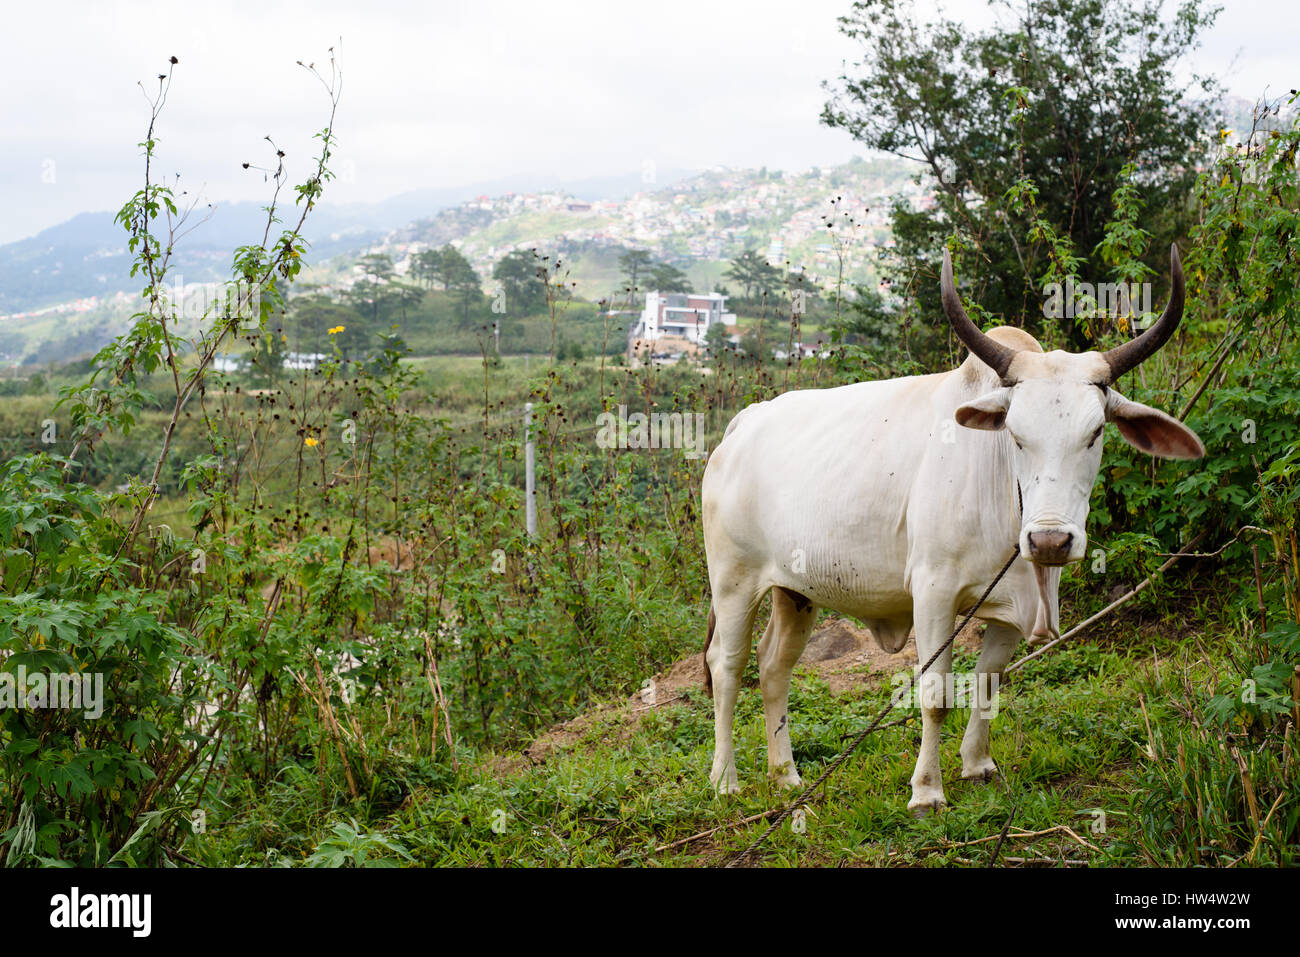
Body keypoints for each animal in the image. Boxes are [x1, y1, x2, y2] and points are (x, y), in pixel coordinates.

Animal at [700, 245, 1204, 814]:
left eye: (1096, 432)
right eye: (1015, 435)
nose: (1050, 541)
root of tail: (742, 425)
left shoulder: (1012, 609)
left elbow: (987, 684)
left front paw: (978, 765)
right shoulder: (933, 594)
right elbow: (936, 694)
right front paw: (926, 790)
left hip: (795, 591)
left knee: (773, 667)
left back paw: (785, 775)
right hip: (734, 582)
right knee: (727, 666)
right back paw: (725, 779)